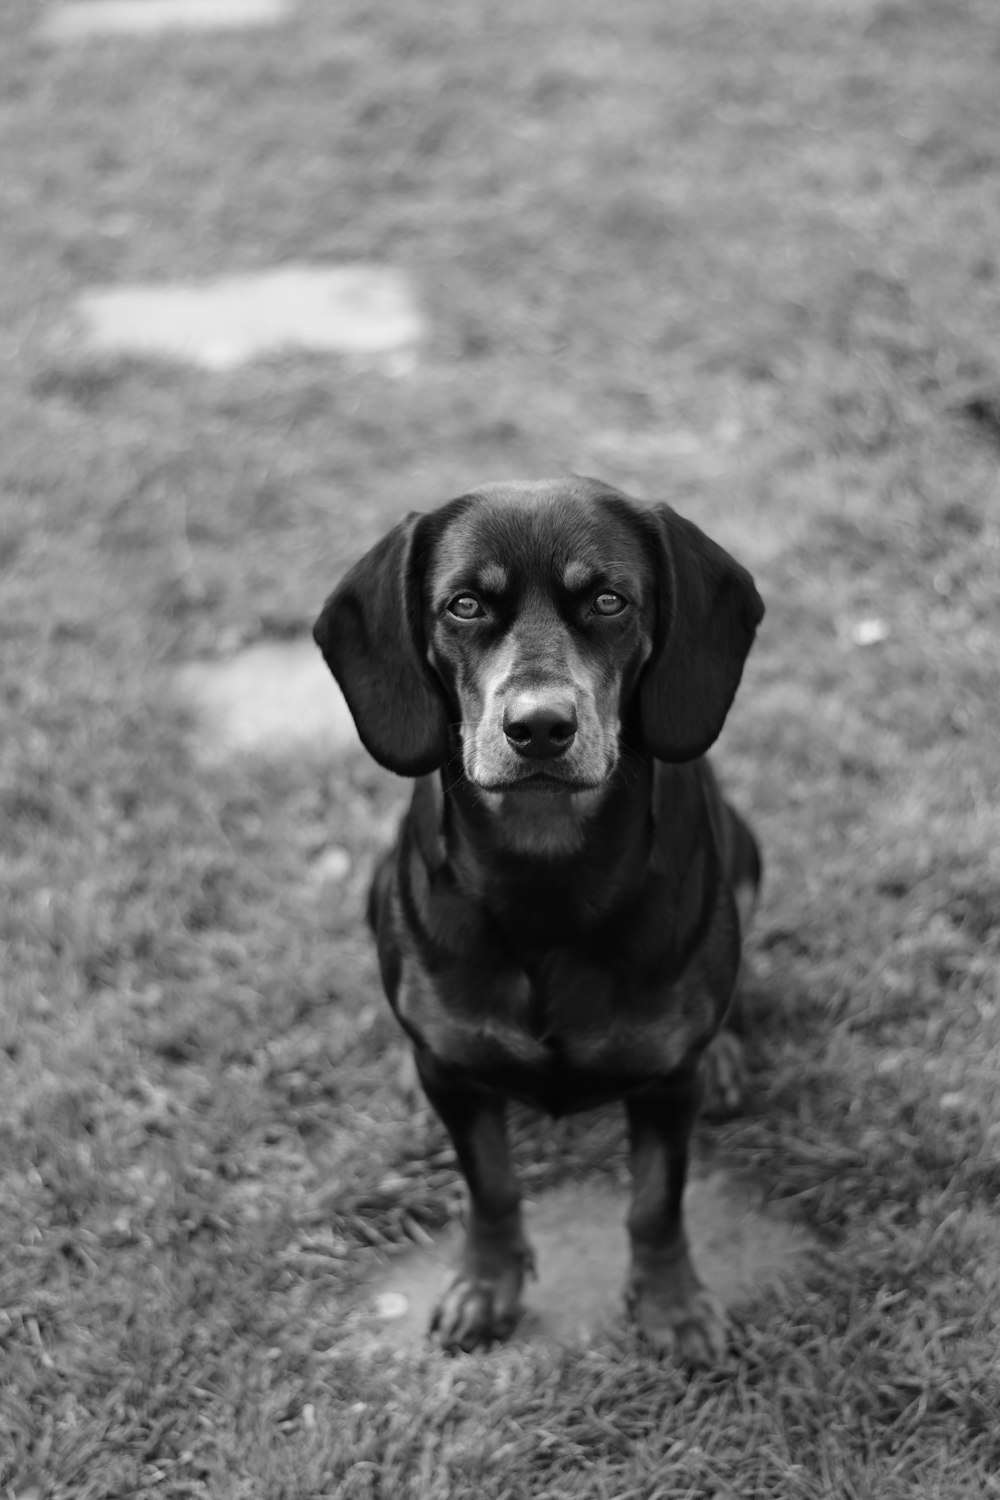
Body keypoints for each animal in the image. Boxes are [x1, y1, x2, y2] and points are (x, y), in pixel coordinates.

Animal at [316, 477, 761, 1362]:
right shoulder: (457, 1084)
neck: (546, 871)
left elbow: (656, 1199)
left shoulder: (667, 1084)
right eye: (463, 605)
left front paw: (672, 1303)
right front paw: (486, 1284)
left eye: (609, 599)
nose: (540, 727)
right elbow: (489, 1184)